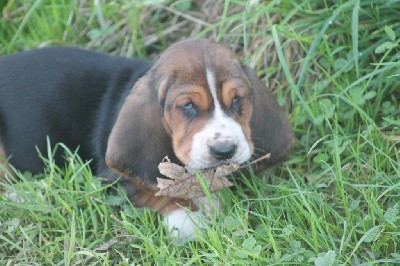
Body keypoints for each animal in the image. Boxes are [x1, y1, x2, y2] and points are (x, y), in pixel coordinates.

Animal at [0, 40, 294, 241]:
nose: (225, 150)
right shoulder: (113, 180)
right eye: (188, 106)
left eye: (237, 100)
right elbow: (156, 193)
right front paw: (190, 221)